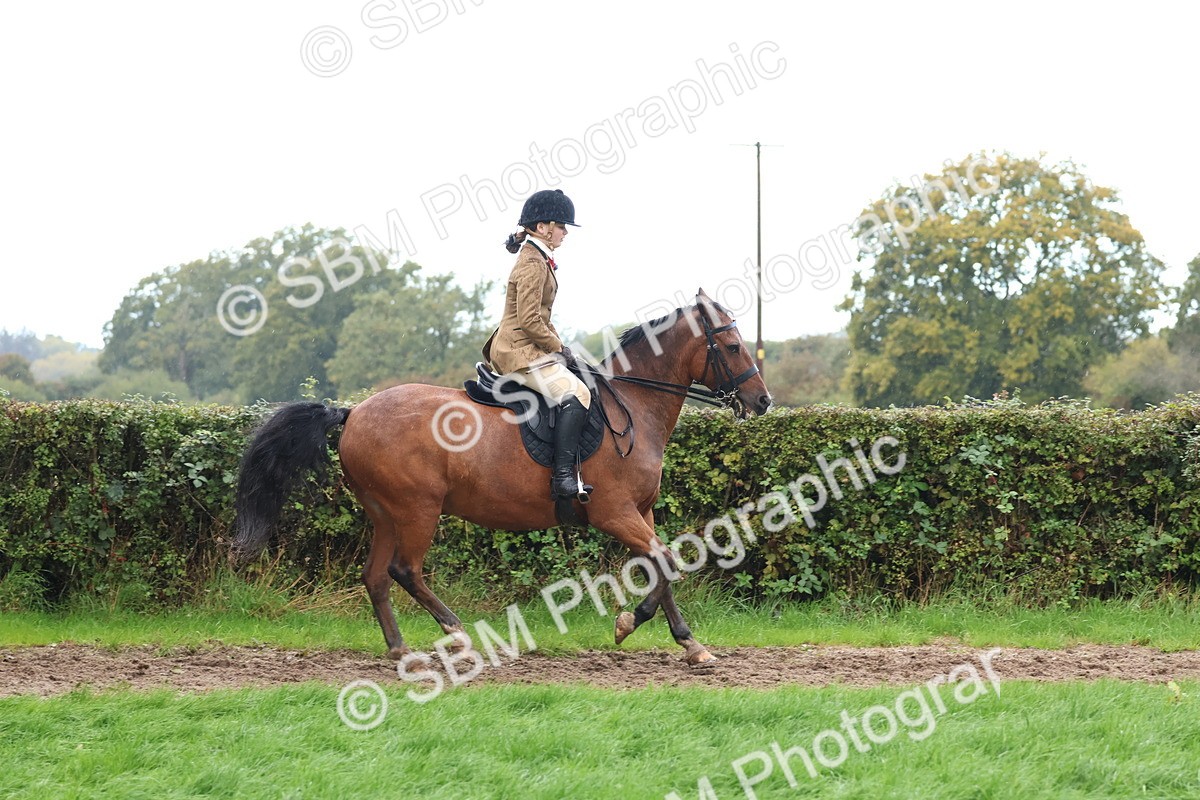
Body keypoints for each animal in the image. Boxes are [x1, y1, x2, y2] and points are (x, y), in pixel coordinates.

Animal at [231, 288, 772, 666]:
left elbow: (663, 566)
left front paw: (688, 644)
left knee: (376, 577)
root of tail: (353, 412)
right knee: (405, 571)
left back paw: (402, 652)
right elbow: (667, 561)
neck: (635, 405)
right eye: (730, 345)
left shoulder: (642, 511)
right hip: (417, 509)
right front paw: (631, 625)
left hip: (385, 513)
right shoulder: (614, 512)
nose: (763, 401)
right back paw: (459, 636)